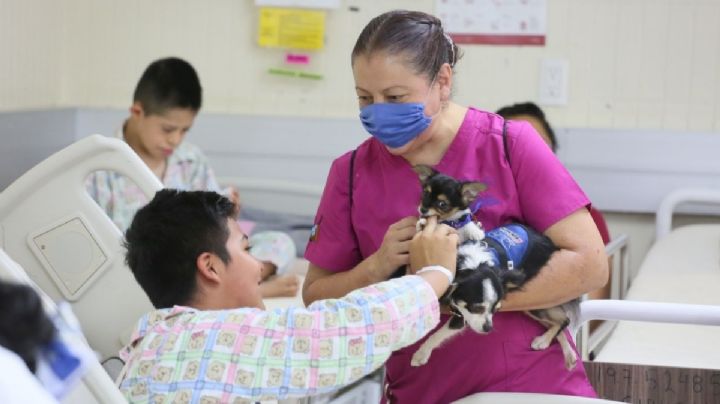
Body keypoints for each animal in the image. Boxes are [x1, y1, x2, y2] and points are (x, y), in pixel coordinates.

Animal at [410, 166, 580, 370]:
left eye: (497, 310)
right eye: (424, 194)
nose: (488, 328)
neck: (474, 262)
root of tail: (549, 243)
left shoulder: (460, 317)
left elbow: (437, 335)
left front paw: (421, 354)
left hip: (537, 302)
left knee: (563, 320)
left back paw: (545, 341)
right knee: (560, 321)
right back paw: (565, 351)